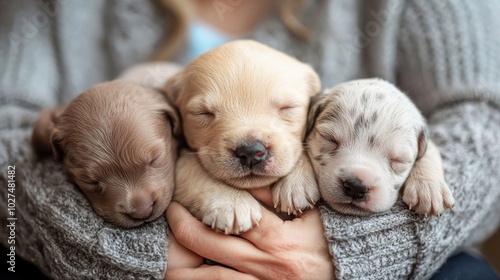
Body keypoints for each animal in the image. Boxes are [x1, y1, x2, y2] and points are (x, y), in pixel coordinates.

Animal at [164, 39, 320, 234]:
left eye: (288, 107)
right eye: (203, 113)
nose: (251, 152)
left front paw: (298, 182)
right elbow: (189, 166)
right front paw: (231, 203)